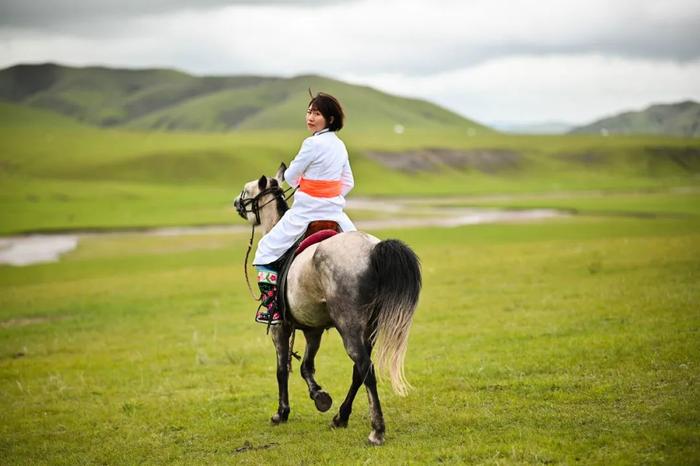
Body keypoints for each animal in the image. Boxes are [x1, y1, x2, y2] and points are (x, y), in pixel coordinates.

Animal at [234, 163, 422, 444]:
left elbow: (282, 369)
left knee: (365, 367)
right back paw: (340, 417)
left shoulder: (280, 328)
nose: (236, 202)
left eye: (247, 190)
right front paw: (319, 396)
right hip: (371, 326)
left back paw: (376, 430)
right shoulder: (314, 330)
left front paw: (282, 412)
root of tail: (372, 250)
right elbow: (305, 367)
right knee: (358, 371)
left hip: (349, 325)